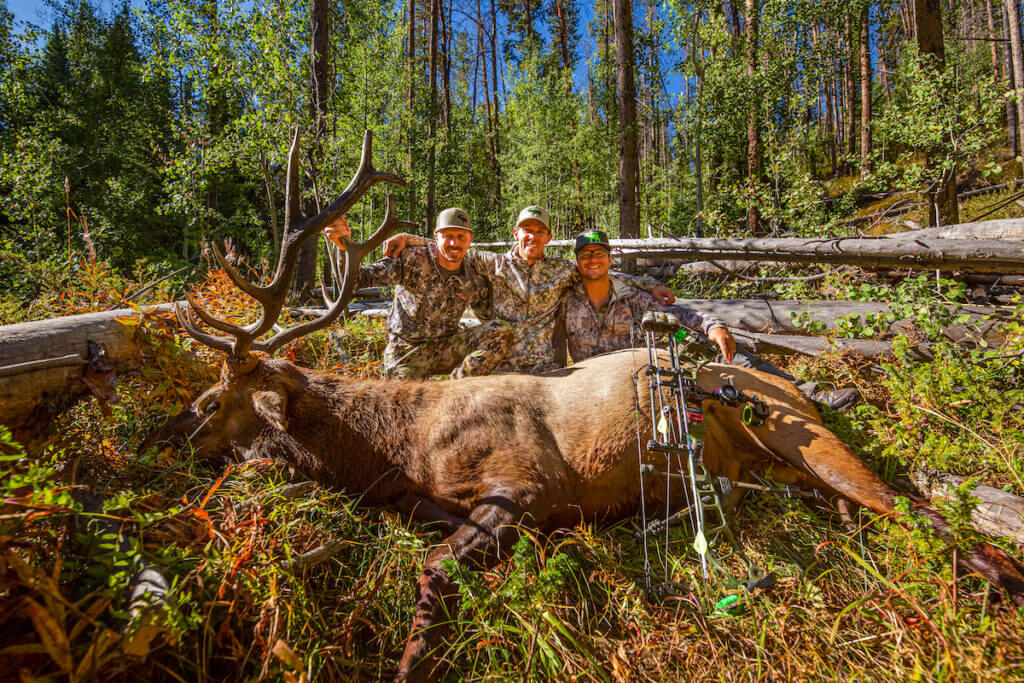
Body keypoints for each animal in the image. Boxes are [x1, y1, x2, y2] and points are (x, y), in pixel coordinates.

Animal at [144, 130, 1024, 681]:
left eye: (215, 396)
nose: (164, 431)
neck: (402, 449)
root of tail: (785, 381)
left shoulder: (527, 483)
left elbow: (433, 572)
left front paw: (411, 663)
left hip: (801, 434)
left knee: (917, 507)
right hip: (778, 465)